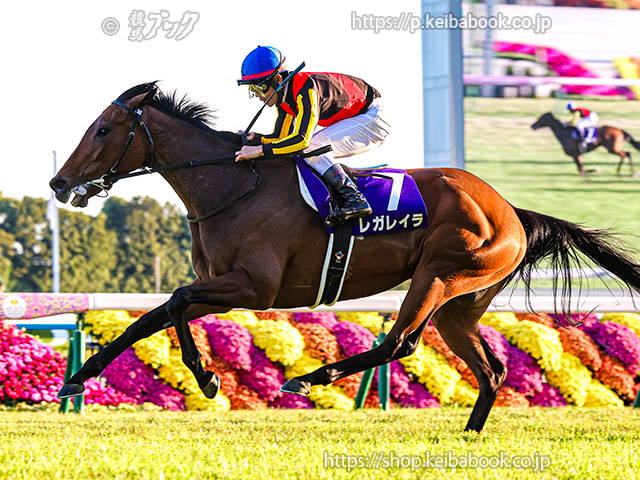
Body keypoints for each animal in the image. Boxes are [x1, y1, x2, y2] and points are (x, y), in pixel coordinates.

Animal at [50, 82, 640, 433]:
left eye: (104, 129)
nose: (58, 182)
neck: (231, 185)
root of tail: (510, 209)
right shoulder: (223, 286)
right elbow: (151, 316)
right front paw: (77, 379)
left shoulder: (253, 287)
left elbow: (172, 304)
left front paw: (207, 378)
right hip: (463, 304)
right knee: (491, 370)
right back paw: (470, 437)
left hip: (439, 275)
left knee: (400, 342)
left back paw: (308, 379)